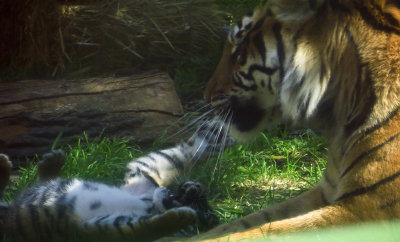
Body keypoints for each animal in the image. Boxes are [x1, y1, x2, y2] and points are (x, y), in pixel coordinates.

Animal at [202, 0, 400, 239]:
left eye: (239, 51)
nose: (206, 97)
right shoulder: (325, 191)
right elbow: (253, 220)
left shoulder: (364, 209)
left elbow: (267, 232)